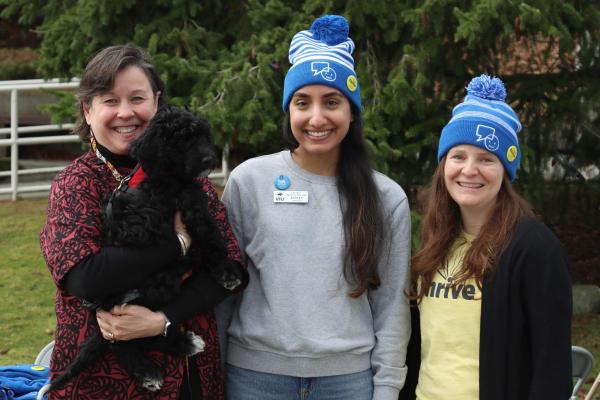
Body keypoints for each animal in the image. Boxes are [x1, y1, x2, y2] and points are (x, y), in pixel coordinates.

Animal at [48, 104, 241, 392]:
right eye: (181, 141)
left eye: (202, 136)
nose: (209, 159)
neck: (166, 178)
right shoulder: (193, 210)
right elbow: (212, 239)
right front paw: (227, 273)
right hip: (144, 297)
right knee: (125, 342)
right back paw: (157, 366)